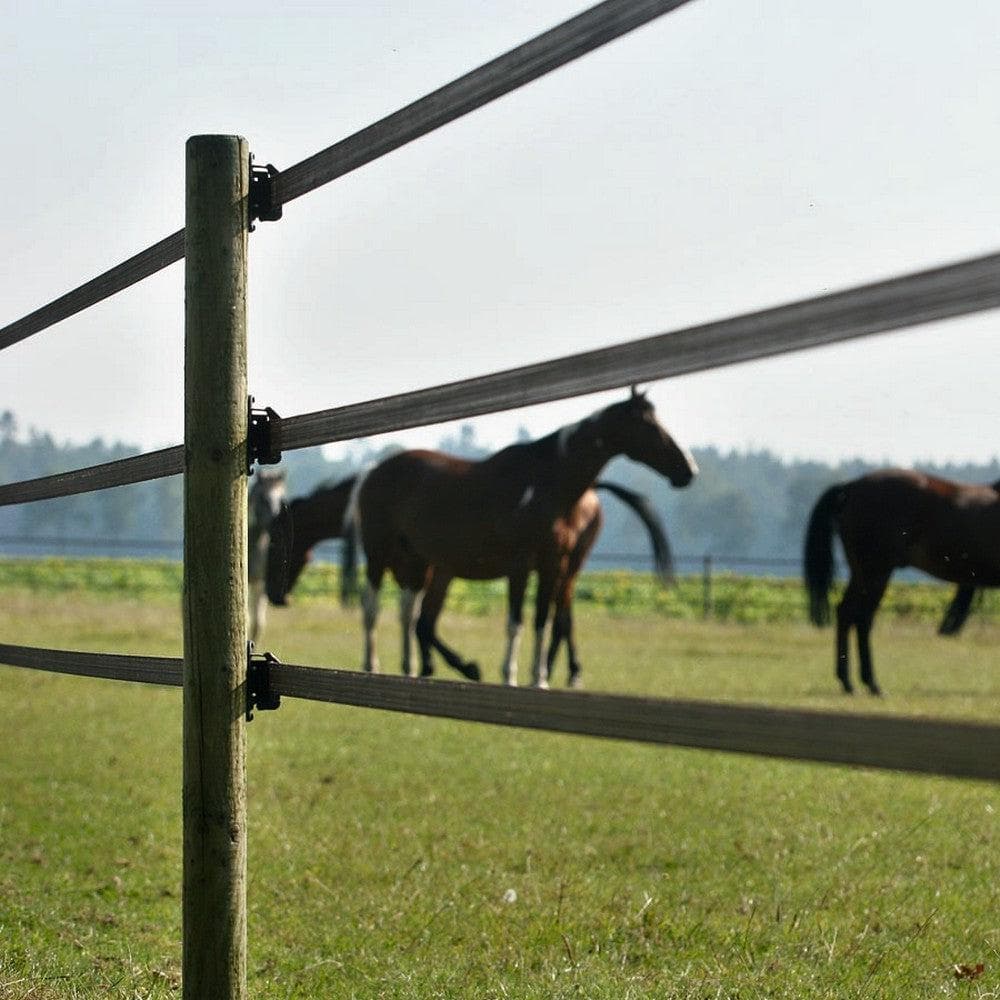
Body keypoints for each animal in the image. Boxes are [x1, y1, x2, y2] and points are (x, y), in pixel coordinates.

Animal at [264, 476, 672, 688]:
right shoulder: (417, 573)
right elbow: (416, 621)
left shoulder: (435, 572)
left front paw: (457, 666)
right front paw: (424, 665)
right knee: (562, 617)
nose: (274, 595)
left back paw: (564, 672)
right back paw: (558, 670)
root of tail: (590, 492)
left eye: (276, 547)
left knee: (561, 617)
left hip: (567, 566)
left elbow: (422, 623)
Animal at [350, 390, 696, 688]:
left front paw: (539, 678)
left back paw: (412, 667)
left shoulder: (551, 566)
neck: (546, 483)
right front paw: (509, 675)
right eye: (649, 425)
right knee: (373, 608)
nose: (688, 470)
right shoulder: (519, 565)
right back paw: (372, 664)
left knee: (410, 615)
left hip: (419, 562)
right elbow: (515, 622)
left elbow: (542, 620)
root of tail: (373, 471)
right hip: (380, 553)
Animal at [800, 470, 1000, 696]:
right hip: (875, 573)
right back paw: (868, 683)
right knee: (861, 618)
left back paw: (850, 681)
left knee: (848, 613)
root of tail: (850, 487)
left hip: (863, 574)